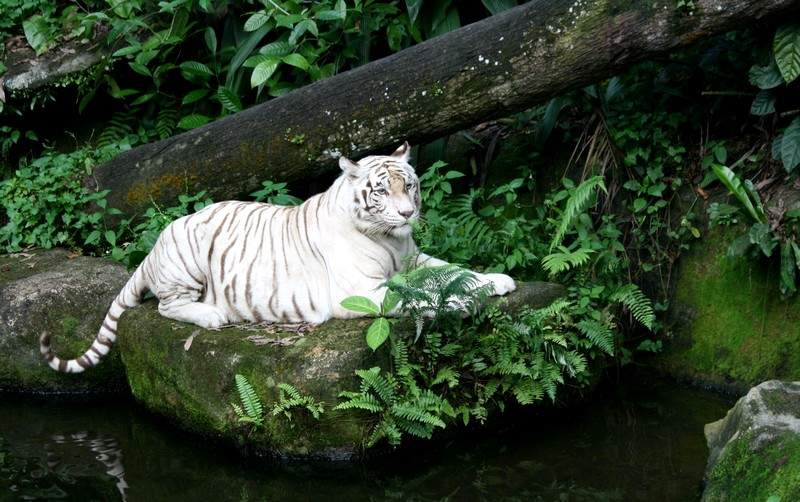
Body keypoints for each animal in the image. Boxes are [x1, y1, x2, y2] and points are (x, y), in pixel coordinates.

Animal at [40, 142, 516, 373]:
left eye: (410, 185)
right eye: (382, 190)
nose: (407, 214)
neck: (391, 240)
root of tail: (154, 246)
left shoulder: (414, 261)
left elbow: (451, 271)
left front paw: (496, 280)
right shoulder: (360, 290)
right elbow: (417, 296)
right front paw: (462, 301)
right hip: (186, 255)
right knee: (166, 306)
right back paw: (212, 315)